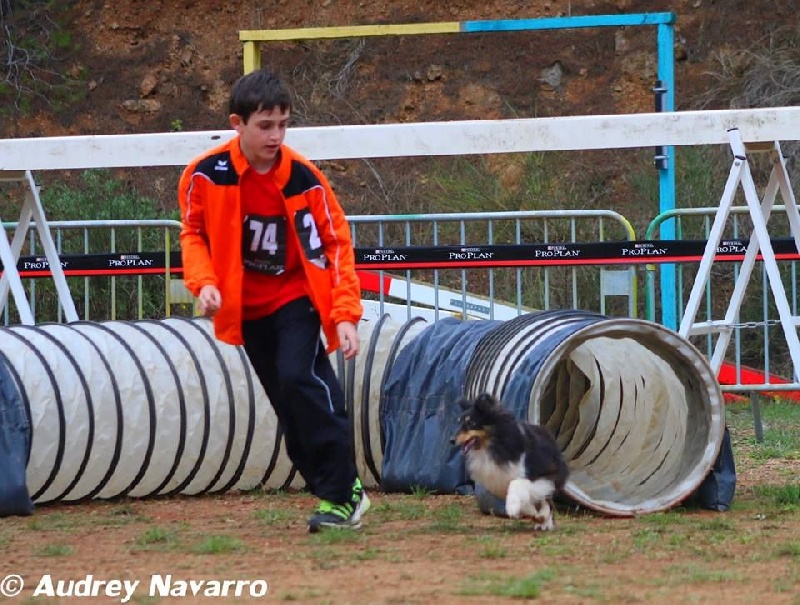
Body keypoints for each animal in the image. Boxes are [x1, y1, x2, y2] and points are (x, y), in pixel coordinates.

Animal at [450, 392, 568, 528]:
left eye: (471, 423)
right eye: (459, 423)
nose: (451, 440)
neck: (494, 445)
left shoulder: (538, 475)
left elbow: (516, 484)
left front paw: (512, 508)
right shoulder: (499, 481)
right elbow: (526, 500)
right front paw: (529, 512)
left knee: (547, 500)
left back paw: (544, 520)